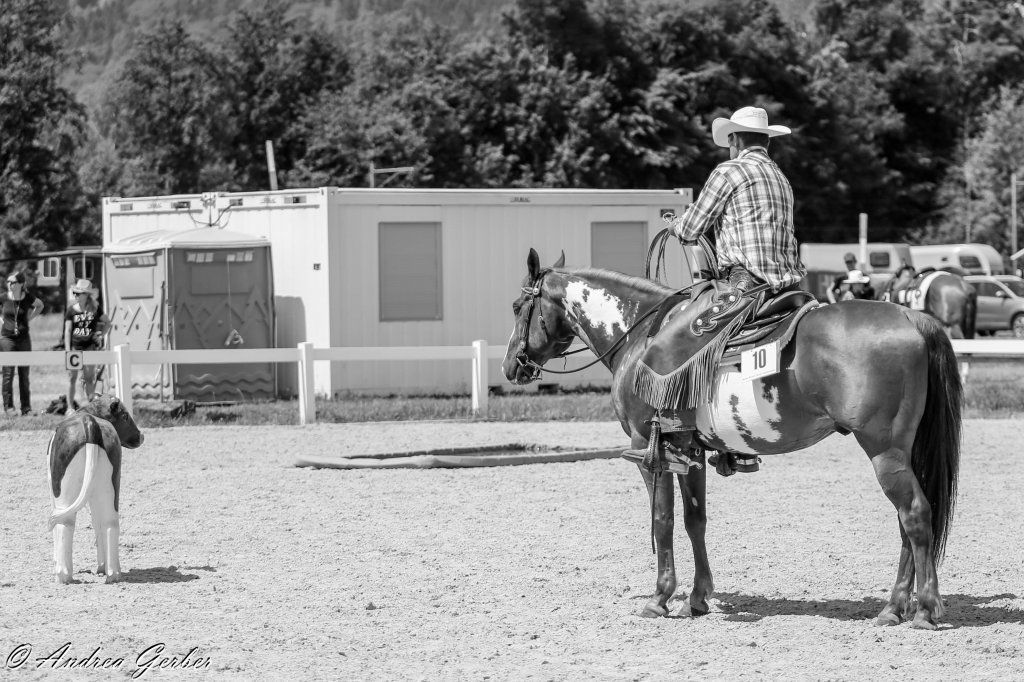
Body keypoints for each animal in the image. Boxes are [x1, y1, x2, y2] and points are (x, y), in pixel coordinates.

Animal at [502, 249, 961, 629]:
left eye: (517, 306)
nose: (511, 366)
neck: (639, 335)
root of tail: (911, 318)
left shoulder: (649, 449)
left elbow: (662, 520)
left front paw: (659, 598)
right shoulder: (689, 450)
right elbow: (695, 520)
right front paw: (698, 597)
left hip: (884, 451)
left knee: (915, 514)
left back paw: (923, 610)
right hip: (902, 452)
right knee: (907, 521)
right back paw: (894, 608)